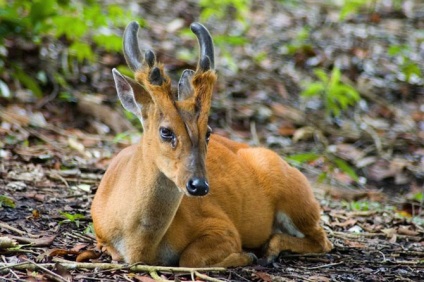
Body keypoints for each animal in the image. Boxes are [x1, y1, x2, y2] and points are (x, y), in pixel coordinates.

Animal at [91, 21, 332, 266]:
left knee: (323, 240)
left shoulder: (222, 226)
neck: (140, 246)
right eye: (166, 131)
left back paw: (268, 251)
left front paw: (245, 256)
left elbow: (190, 258)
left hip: (296, 195)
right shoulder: (101, 237)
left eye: (207, 132)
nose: (198, 185)